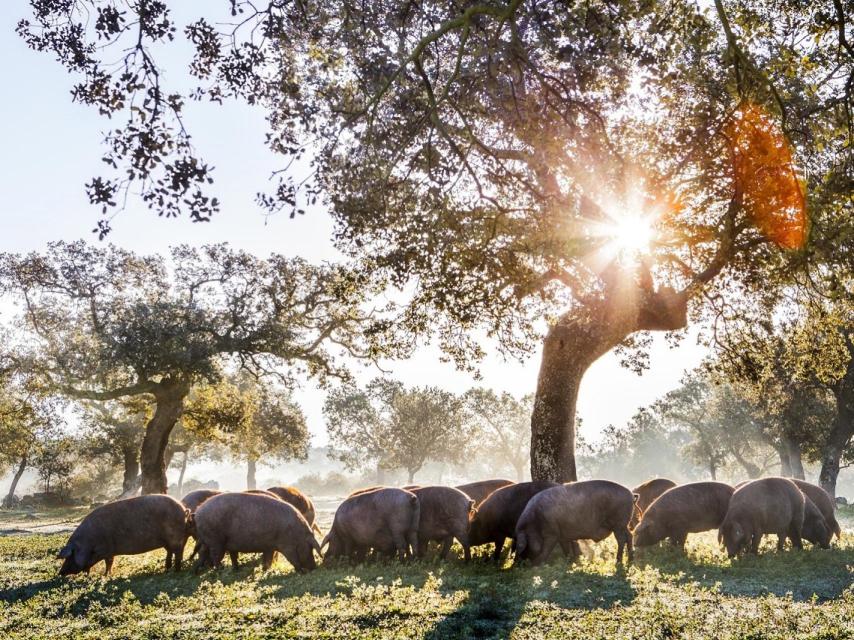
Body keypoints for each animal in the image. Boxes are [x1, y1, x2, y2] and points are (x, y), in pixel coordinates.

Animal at [57, 495, 189, 576]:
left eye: (69, 556)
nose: (61, 572)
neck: (87, 543)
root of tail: (183, 509)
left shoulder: (106, 549)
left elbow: (109, 563)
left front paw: (105, 575)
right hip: (169, 541)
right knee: (171, 552)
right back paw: (167, 568)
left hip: (175, 538)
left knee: (178, 552)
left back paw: (176, 570)